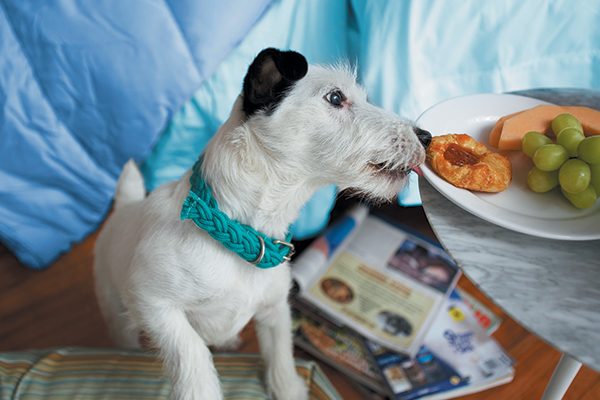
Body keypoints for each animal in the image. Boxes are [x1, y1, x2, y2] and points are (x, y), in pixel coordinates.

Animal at [94, 47, 428, 400]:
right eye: (336, 97)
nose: (427, 137)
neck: (239, 232)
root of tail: (126, 207)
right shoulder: (154, 303)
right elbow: (190, 348)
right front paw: (200, 389)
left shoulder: (275, 309)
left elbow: (280, 353)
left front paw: (289, 387)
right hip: (115, 306)